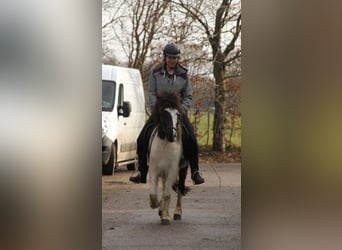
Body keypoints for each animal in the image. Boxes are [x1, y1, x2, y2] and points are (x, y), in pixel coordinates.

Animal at [147, 91, 190, 225]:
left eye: (177, 114)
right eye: (163, 113)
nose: (173, 135)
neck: (165, 144)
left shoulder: (172, 170)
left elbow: (167, 194)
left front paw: (165, 216)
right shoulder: (154, 170)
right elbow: (153, 194)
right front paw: (156, 205)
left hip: (182, 170)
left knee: (179, 189)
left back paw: (177, 212)